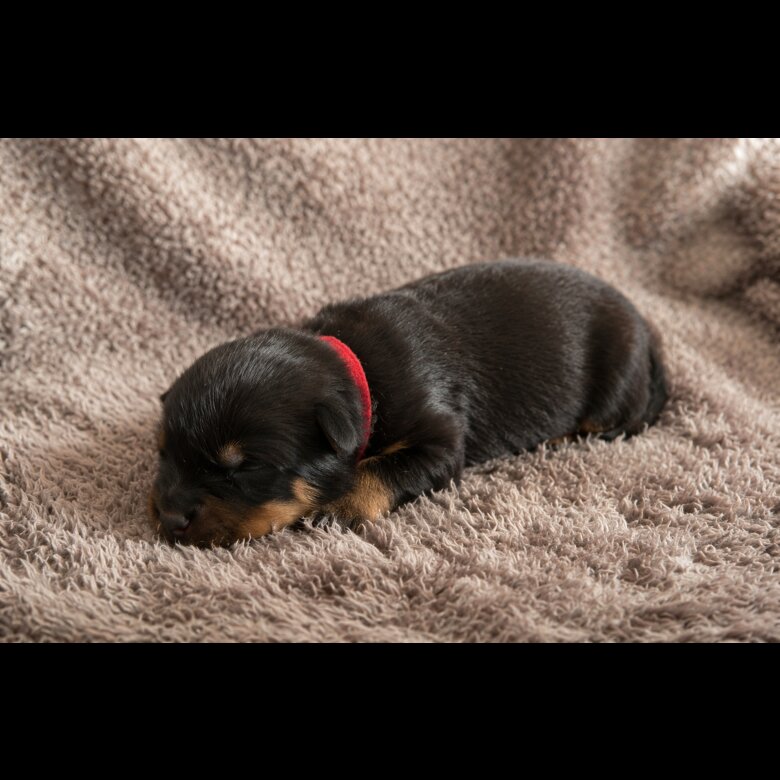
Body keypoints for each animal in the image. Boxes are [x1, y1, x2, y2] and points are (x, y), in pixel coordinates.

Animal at [149, 259, 667, 546]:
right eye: (163, 452)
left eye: (245, 467)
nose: (169, 519)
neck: (360, 372)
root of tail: (647, 329)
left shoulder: (440, 440)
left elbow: (381, 469)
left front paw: (339, 505)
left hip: (615, 382)